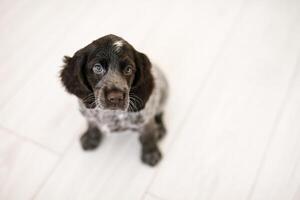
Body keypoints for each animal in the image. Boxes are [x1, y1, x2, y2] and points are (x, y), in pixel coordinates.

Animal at [60, 34, 169, 166]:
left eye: (128, 69)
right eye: (97, 68)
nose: (116, 97)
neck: (110, 114)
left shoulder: (145, 121)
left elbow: (148, 136)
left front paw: (151, 152)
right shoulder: (88, 114)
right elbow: (92, 124)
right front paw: (91, 137)